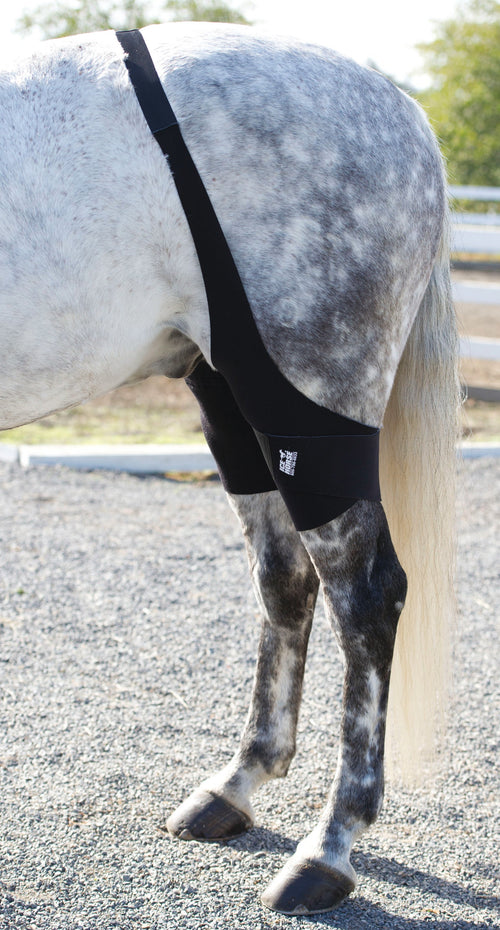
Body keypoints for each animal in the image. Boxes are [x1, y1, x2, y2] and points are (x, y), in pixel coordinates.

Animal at [0, 22, 459, 916]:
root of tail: (403, 112)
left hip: (311, 404)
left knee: (367, 600)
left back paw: (329, 849)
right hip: (232, 407)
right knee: (286, 582)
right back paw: (238, 785)